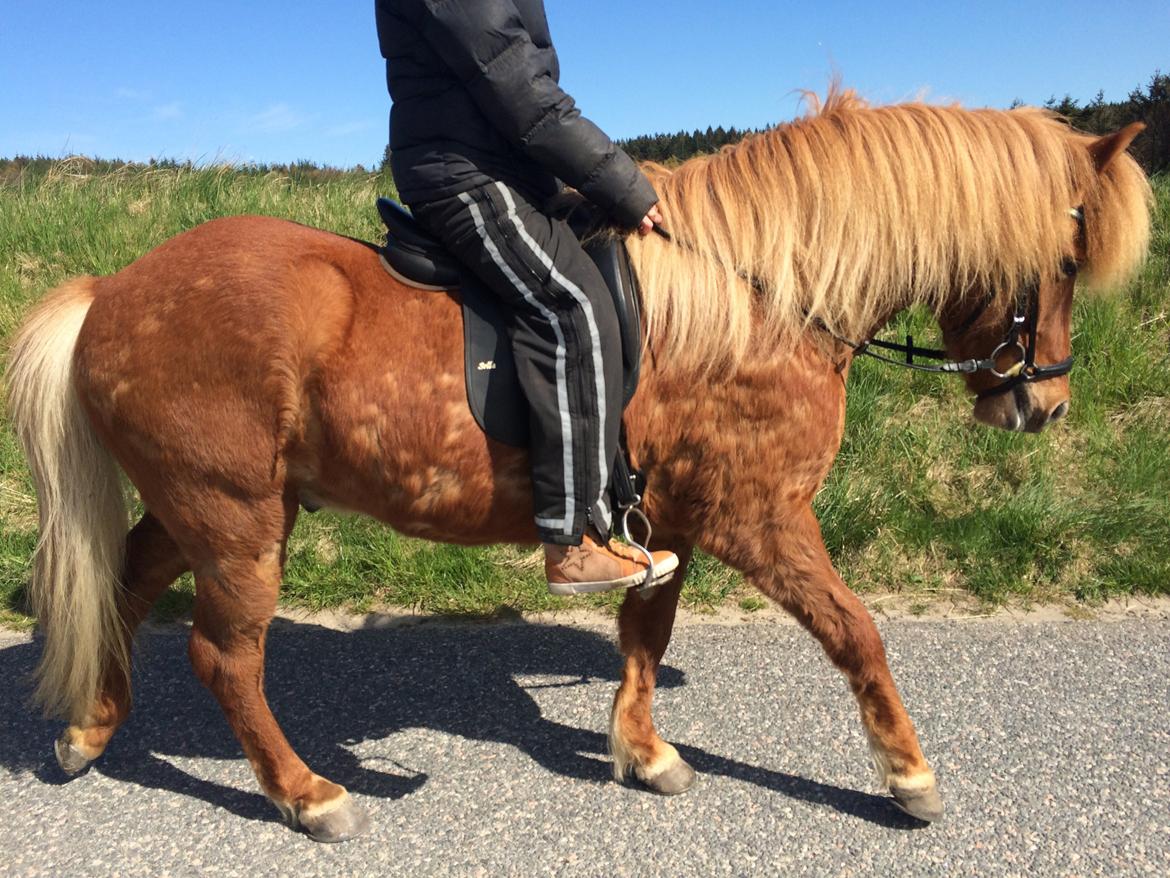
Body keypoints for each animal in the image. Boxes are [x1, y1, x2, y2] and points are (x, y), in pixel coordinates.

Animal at [4, 93, 1146, 842]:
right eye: (1063, 260)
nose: (1042, 405)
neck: (760, 293)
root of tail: (112, 292)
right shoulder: (758, 517)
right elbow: (855, 630)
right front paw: (907, 772)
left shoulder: (668, 524)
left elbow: (646, 632)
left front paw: (644, 751)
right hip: (238, 517)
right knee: (224, 656)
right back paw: (305, 792)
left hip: (201, 506)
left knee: (123, 590)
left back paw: (91, 730)